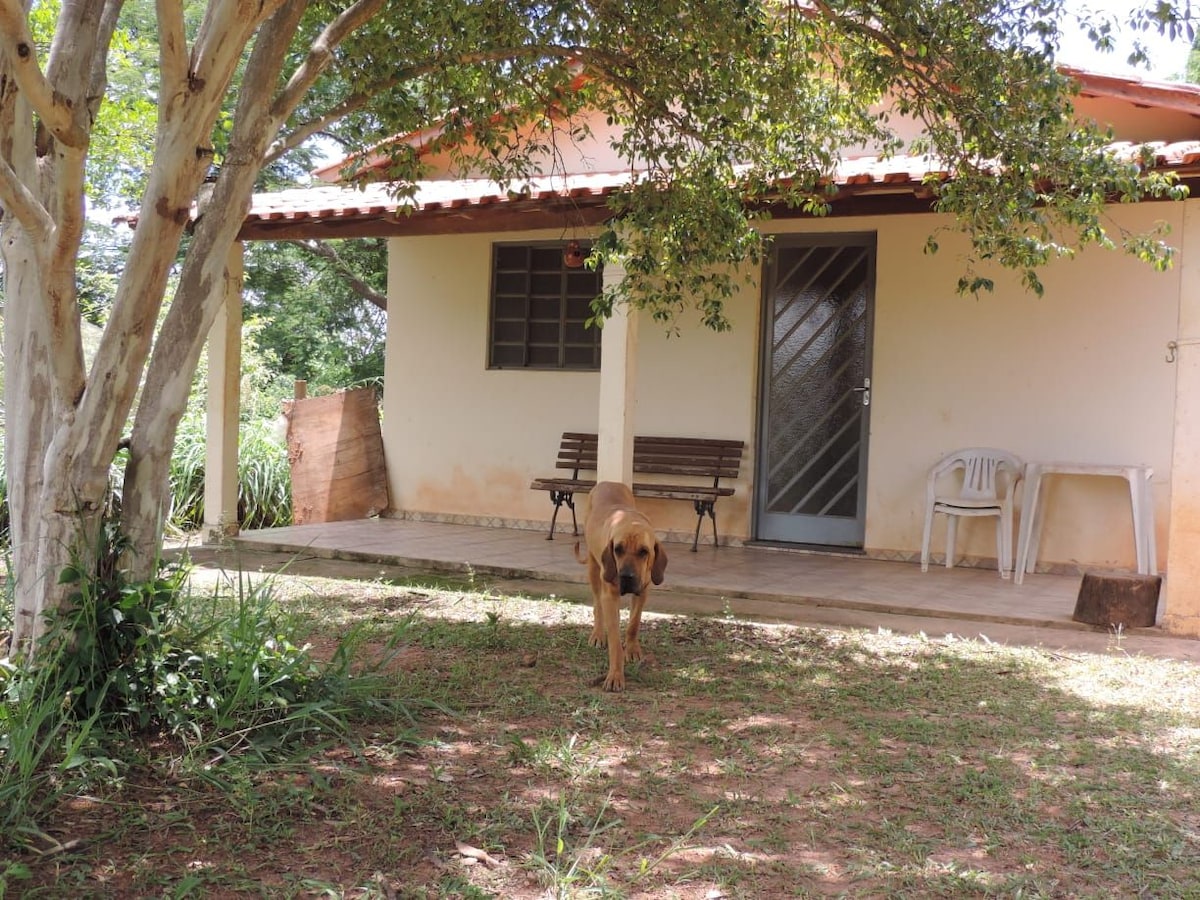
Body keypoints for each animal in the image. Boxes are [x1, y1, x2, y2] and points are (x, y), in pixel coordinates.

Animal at [571, 482, 667, 696]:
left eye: (644, 552)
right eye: (618, 549)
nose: (626, 577)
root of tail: (607, 482)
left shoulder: (643, 591)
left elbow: (634, 623)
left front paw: (631, 649)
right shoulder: (609, 594)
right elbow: (614, 640)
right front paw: (615, 674)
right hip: (594, 569)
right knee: (598, 606)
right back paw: (598, 634)